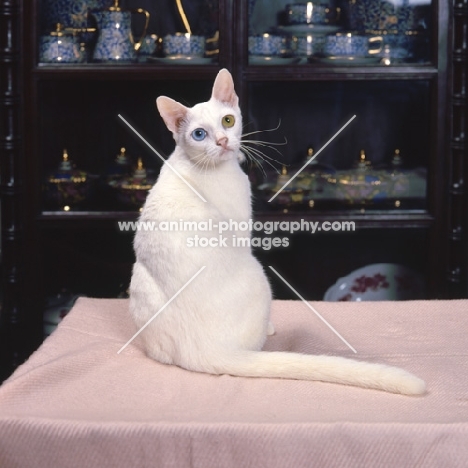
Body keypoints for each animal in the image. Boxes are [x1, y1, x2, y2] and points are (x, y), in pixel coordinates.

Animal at [127, 68, 424, 394]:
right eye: (199, 134)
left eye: (227, 121)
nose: (222, 140)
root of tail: (201, 350)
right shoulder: (241, 227)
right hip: (258, 273)